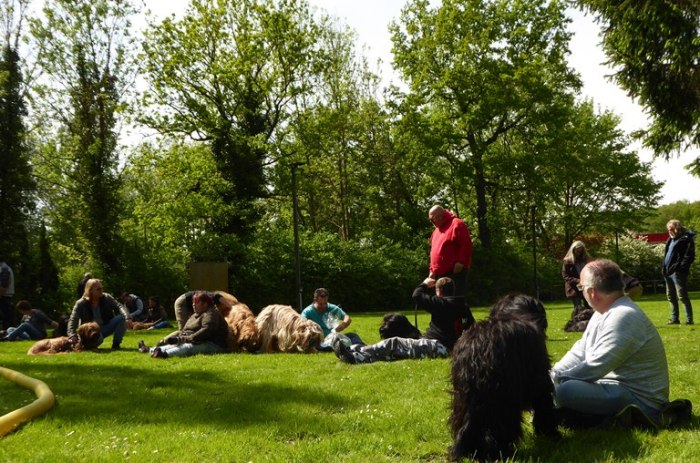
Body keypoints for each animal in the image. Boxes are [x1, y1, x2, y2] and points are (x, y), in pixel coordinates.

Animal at [449, 294, 558, 462]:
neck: (514, 313)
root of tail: (477, 349)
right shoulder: (540, 378)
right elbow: (544, 404)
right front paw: (550, 433)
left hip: (463, 396)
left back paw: (468, 451)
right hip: (503, 396)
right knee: (499, 427)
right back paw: (500, 452)